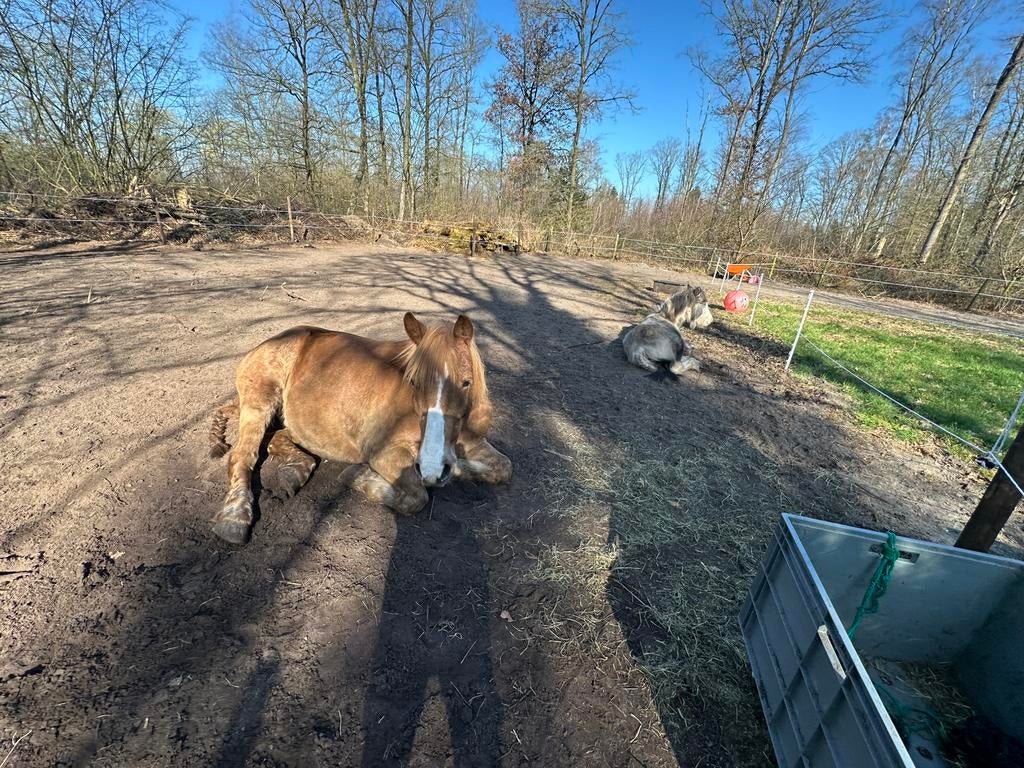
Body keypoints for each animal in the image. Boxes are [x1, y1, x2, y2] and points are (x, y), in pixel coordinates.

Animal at [207, 313, 512, 544]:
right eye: (414, 382)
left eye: (466, 383)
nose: (432, 466)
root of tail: (265, 344)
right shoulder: (383, 453)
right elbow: (417, 496)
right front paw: (359, 476)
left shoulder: (471, 443)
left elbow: (503, 468)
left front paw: (455, 469)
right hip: (260, 401)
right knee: (243, 455)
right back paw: (235, 518)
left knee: (276, 439)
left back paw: (295, 470)